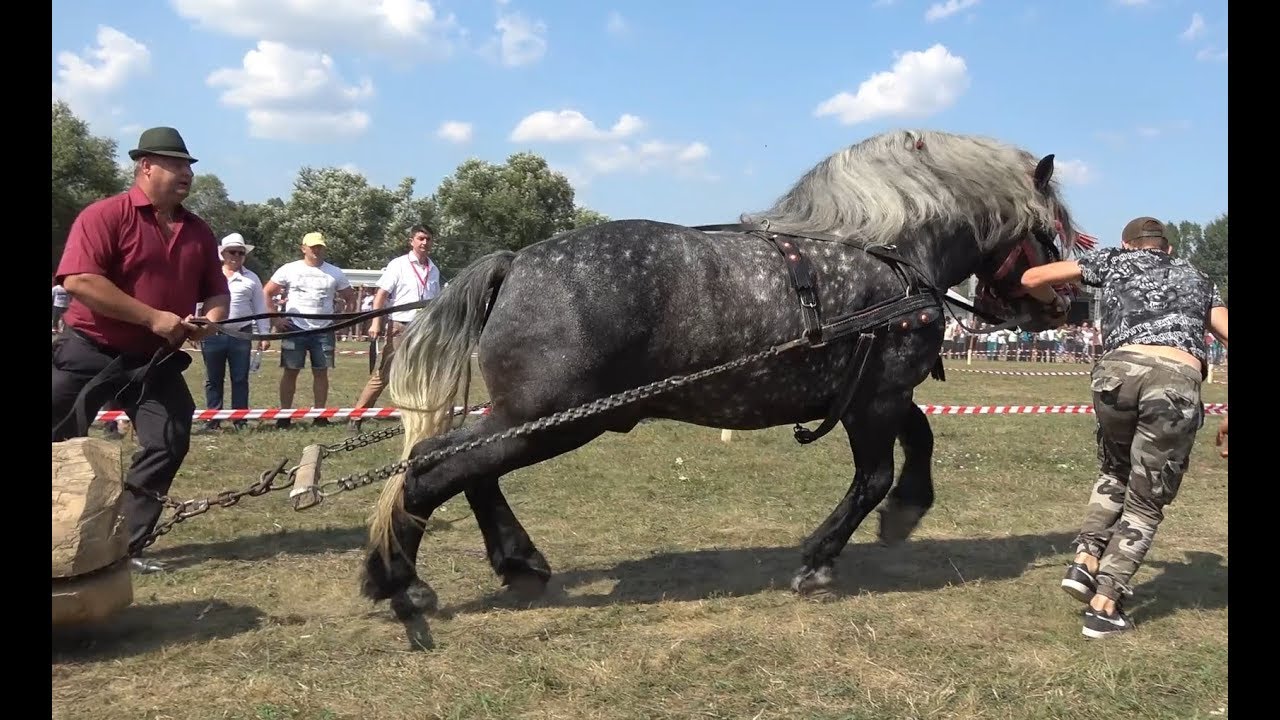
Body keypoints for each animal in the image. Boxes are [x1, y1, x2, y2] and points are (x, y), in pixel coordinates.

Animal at [359, 129, 1087, 649]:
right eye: (1051, 229)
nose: (1073, 303)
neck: (890, 256)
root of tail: (516, 262)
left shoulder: (876, 395)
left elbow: (921, 439)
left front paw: (907, 512)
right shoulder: (876, 399)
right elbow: (875, 475)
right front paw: (820, 559)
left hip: (527, 417)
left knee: (461, 467)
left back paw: (515, 565)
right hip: (555, 418)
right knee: (433, 468)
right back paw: (401, 583)